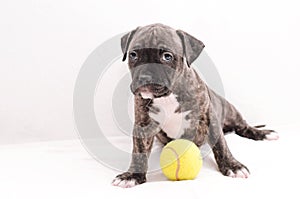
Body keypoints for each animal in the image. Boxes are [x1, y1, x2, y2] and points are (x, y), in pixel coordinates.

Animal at [111, 23, 278, 188]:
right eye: (133, 55)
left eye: (167, 56)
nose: (144, 77)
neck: (167, 96)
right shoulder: (143, 124)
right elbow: (139, 150)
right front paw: (132, 176)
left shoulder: (209, 117)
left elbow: (221, 145)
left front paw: (232, 166)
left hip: (231, 112)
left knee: (243, 127)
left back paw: (264, 134)